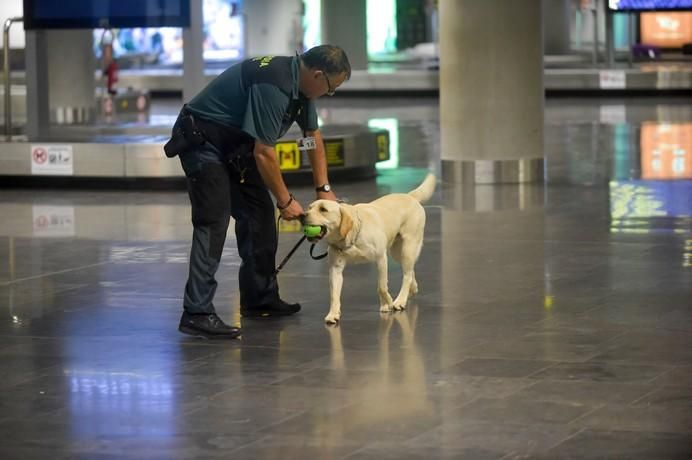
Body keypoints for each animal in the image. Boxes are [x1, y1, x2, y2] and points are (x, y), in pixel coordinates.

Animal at [302, 173, 432, 324]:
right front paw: (333, 314)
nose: (302, 215)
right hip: (396, 252)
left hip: (408, 247)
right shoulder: (335, 269)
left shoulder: (381, 258)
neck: (351, 236)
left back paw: (400, 300)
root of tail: (410, 196)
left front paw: (388, 302)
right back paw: (412, 288)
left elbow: (381, 287)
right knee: (410, 271)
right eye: (309, 208)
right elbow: (334, 295)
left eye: (323, 209)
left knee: (406, 274)